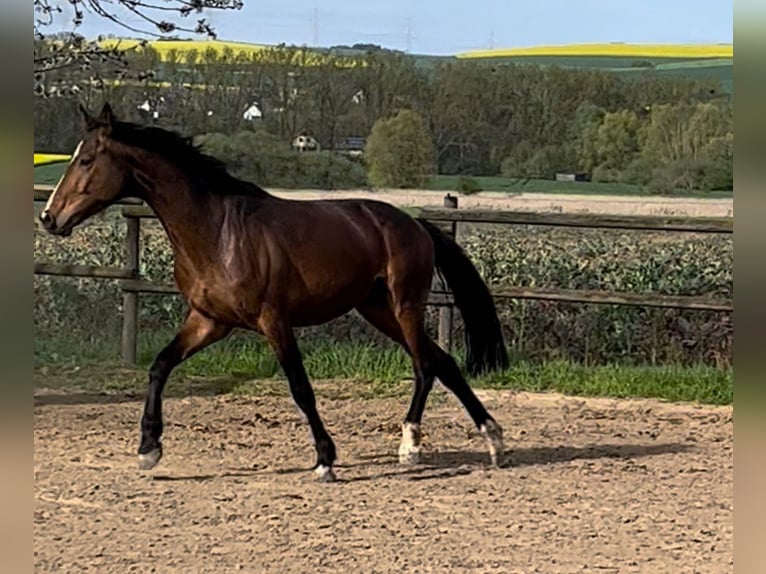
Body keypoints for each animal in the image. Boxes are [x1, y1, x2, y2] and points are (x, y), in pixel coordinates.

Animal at [40, 103, 510, 482]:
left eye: (86, 159)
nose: (48, 217)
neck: (217, 232)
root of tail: (415, 224)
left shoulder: (273, 321)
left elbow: (300, 387)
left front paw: (325, 460)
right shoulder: (209, 321)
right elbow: (159, 366)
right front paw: (148, 449)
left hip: (405, 304)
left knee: (425, 366)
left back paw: (410, 446)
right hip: (377, 310)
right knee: (444, 362)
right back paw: (494, 442)